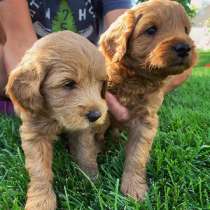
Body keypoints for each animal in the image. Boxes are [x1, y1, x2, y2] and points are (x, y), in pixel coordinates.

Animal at [6, 31, 108, 210]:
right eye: (68, 84)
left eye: (101, 83)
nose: (96, 115)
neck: (56, 117)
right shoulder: (33, 134)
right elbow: (39, 169)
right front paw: (40, 201)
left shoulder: (82, 131)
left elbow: (85, 153)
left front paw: (92, 181)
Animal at [99, 0, 196, 200]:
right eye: (151, 30)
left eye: (185, 30)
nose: (184, 47)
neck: (136, 78)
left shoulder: (145, 120)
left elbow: (137, 156)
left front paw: (133, 188)